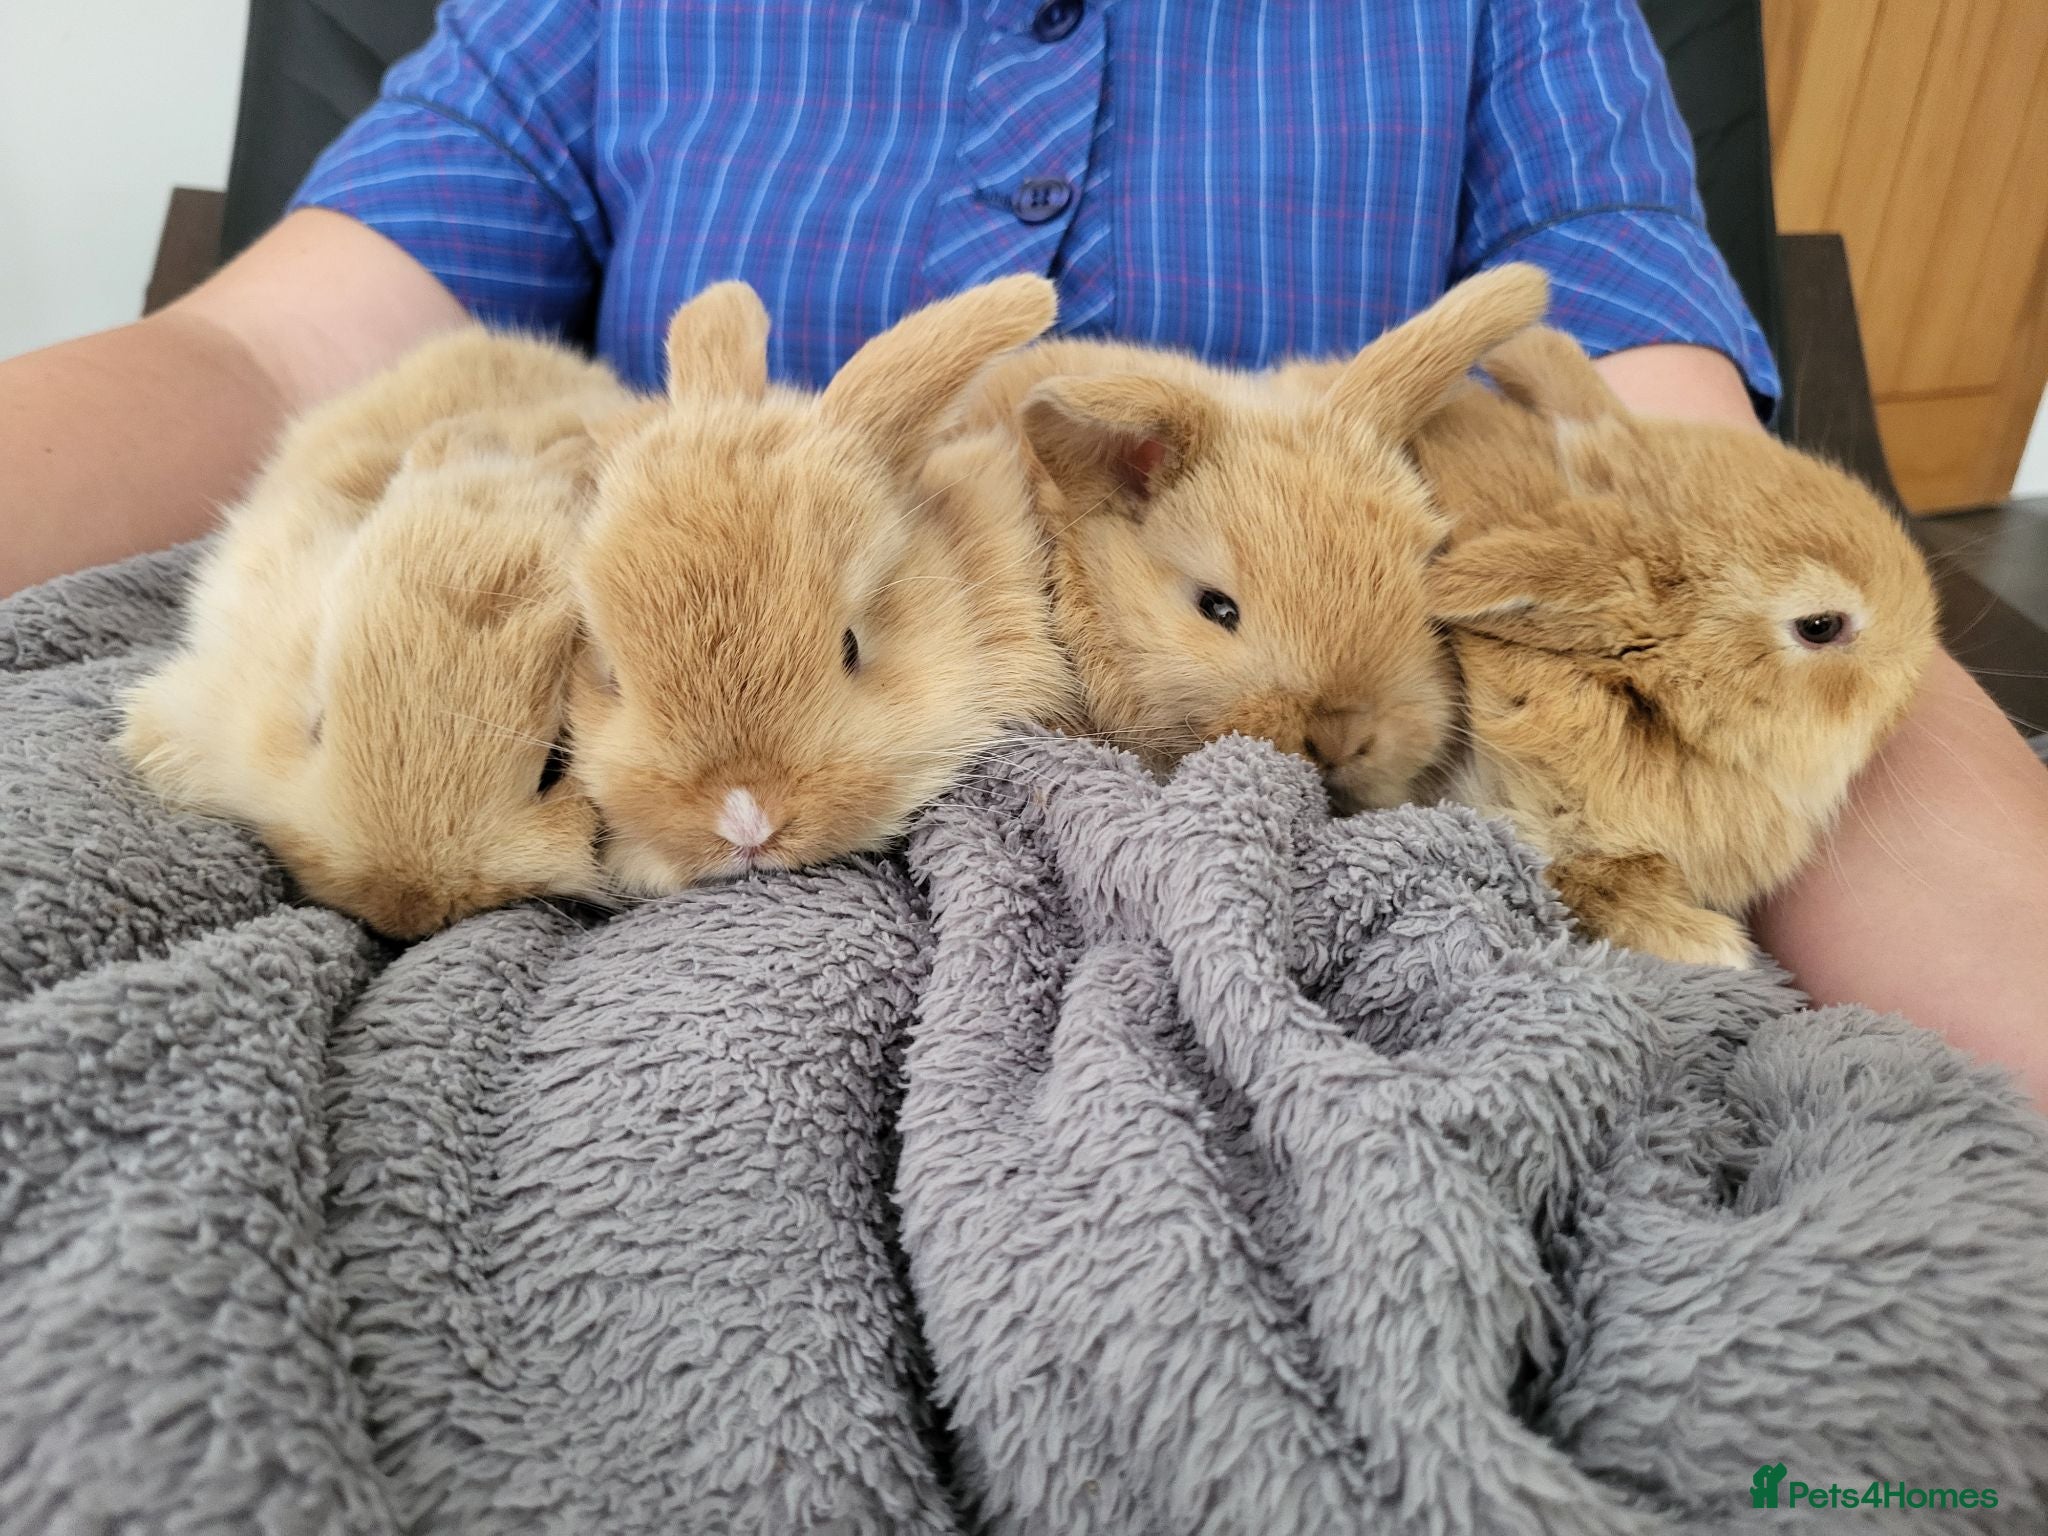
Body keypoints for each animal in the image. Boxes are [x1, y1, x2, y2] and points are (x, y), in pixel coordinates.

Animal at [1412, 325, 1939, 967]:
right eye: (1819, 626)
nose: (1911, 690)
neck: (1642, 704)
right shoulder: (1535, 823)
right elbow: (1600, 889)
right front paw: (1716, 948)